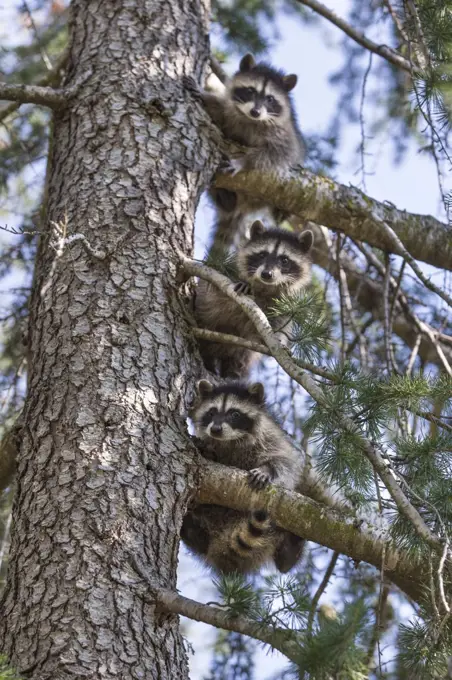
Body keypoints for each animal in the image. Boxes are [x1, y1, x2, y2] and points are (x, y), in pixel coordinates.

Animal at [182, 382, 306, 572]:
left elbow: (283, 461)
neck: (230, 440)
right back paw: (193, 531)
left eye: (235, 414)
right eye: (211, 412)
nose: (215, 429)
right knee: (199, 539)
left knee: (284, 563)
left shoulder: (270, 437)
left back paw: (290, 550)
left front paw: (267, 470)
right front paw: (206, 450)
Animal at [184, 54, 308, 256]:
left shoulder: (284, 135)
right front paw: (204, 94)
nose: (256, 111)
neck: (250, 119)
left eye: (270, 99)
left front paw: (242, 162)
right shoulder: (228, 113)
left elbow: (274, 155)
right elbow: (217, 108)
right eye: (250, 91)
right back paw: (225, 198)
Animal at [194, 219, 314, 380]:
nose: (267, 274)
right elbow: (215, 292)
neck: (265, 287)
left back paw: (233, 373)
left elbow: (277, 327)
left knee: (241, 356)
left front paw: (279, 341)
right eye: (262, 254)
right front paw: (244, 286)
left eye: (284, 260)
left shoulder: (284, 304)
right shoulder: (226, 273)